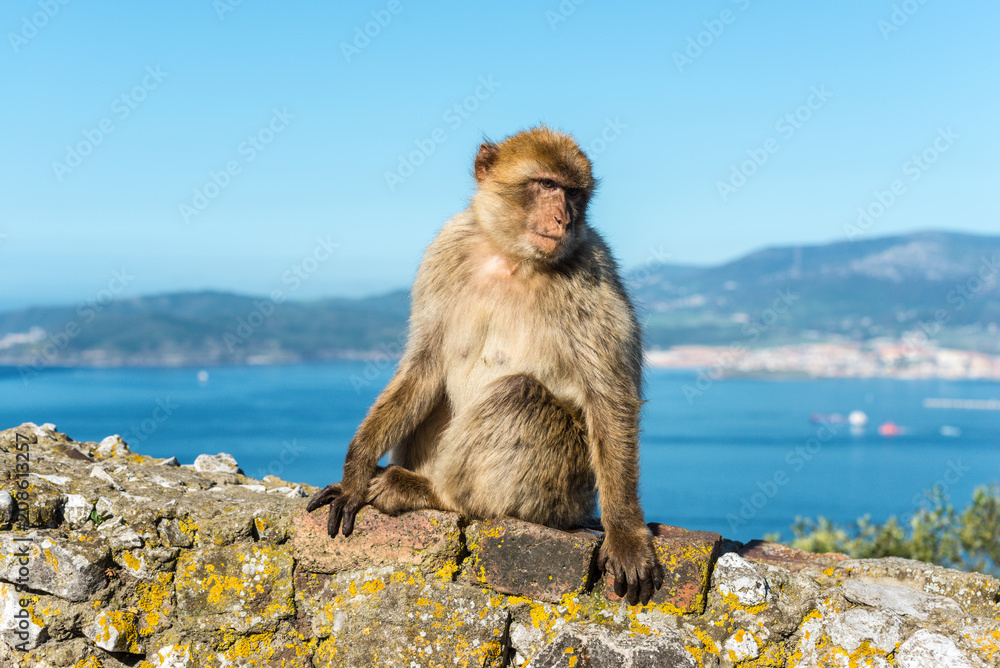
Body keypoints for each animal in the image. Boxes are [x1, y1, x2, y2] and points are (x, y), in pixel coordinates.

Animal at [307, 126, 664, 605]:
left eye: (573, 193)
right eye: (545, 185)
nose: (564, 219)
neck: (511, 257)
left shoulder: (593, 267)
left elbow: (610, 394)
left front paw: (625, 533)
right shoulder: (447, 249)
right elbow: (424, 365)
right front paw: (355, 473)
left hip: (566, 489)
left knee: (518, 396)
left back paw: (433, 492)